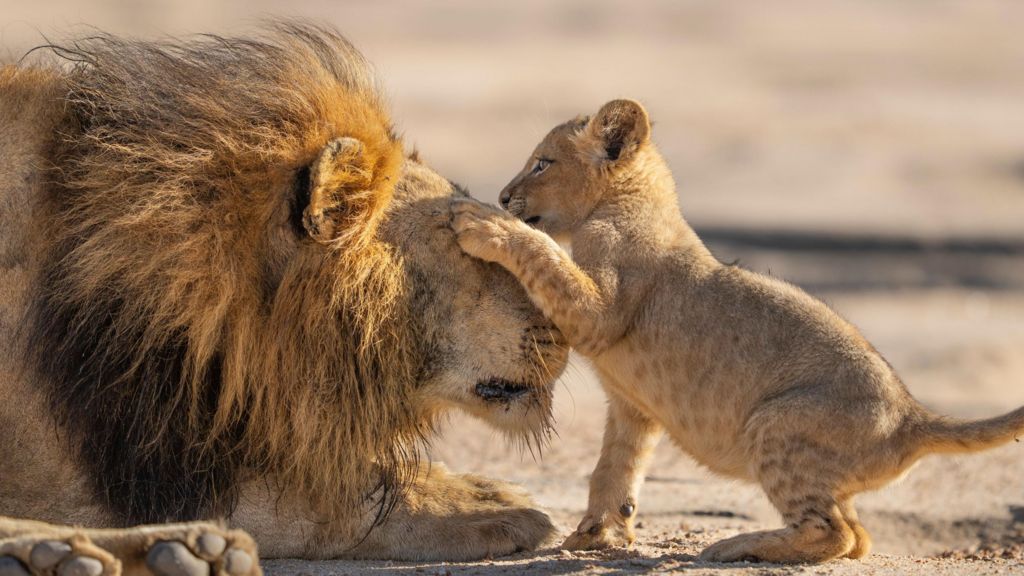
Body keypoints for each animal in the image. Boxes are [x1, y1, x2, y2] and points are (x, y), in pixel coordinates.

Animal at [451, 98, 1024, 564]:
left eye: (542, 163)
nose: (503, 195)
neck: (630, 202)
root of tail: (913, 417)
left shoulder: (601, 310)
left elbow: (543, 253)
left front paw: (481, 224)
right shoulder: (633, 407)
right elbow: (614, 466)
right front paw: (595, 534)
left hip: (778, 425)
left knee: (835, 533)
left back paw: (737, 546)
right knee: (859, 537)